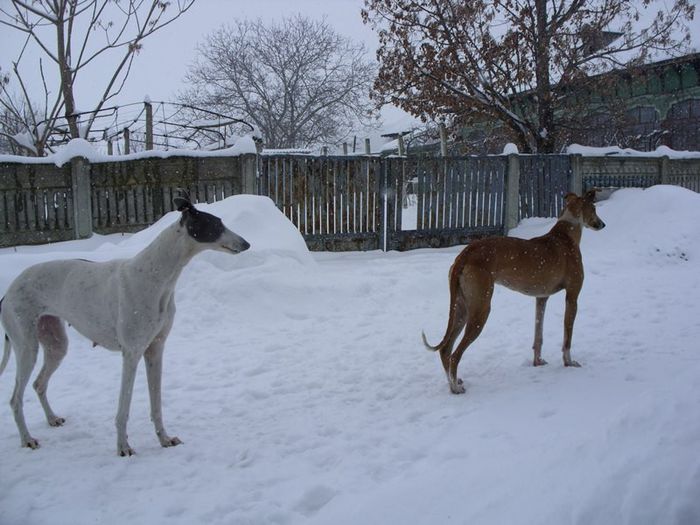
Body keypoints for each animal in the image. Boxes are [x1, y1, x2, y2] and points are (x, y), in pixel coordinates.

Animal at [0, 193, 252, 454]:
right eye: (215, 225)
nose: (246, 244)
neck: (156, 274)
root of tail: (8, 292)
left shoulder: (155, 350)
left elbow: (156, 404)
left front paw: (164, 439)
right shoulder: (131, 353)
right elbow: (124, 408)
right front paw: (123, 447)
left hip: (55, 344)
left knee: (39, 383)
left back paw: (51, 418)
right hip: (27, 348)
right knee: (15, 398)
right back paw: (27, 439)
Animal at [424, 190, 604, 390]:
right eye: (594, 208)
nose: (602, 224)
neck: (566, 234)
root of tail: (464, 254)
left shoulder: (541, 298)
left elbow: (538, 335)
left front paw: (537, 362)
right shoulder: (572, 296)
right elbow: (567, 337)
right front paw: (569, 363)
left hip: (461, 308)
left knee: (445, 349)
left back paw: (452, 383)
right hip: (481, 309)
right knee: (455, 354)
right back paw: (456, 387)